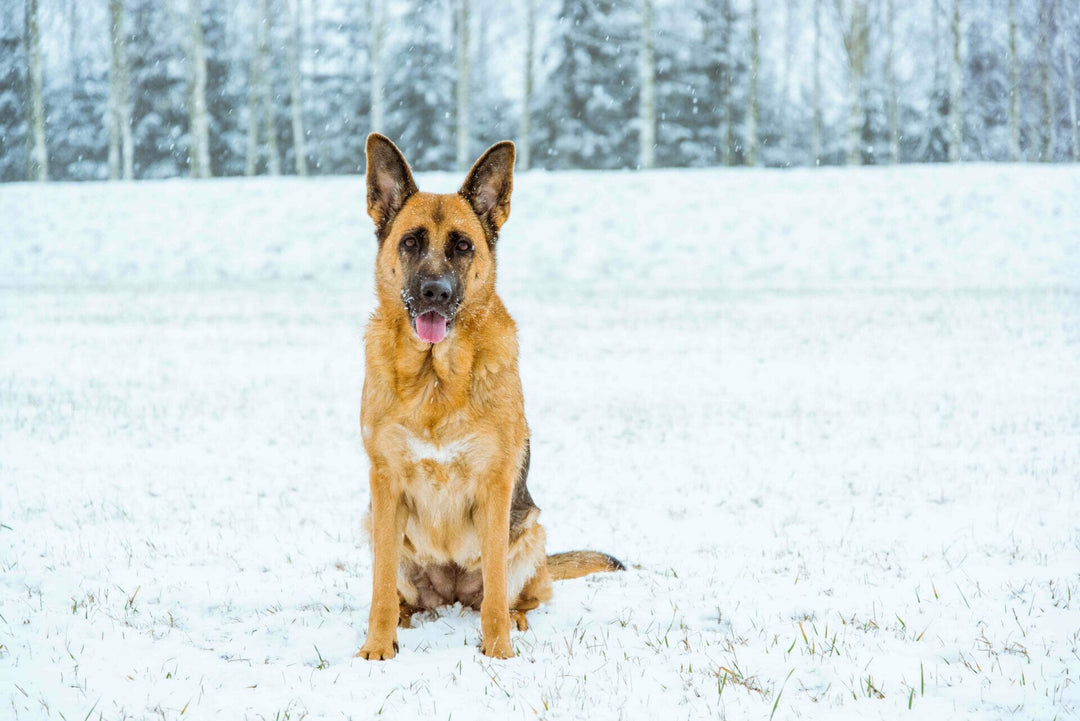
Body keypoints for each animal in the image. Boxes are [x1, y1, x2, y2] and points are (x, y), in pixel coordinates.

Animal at [356, 134, 622, 660]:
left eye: (463, 246)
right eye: (410, 242)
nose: (435, 292)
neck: (435, 380)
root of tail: (451, 595)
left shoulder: (495, 488)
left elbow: (496, 590)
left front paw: (499, 653)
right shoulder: (385, 485)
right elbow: (379, 590)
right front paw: (377, 648)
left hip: (530, 530)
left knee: (520, 594)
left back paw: (516, 619)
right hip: (373, 522)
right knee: (400, 593)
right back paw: (405, 618)